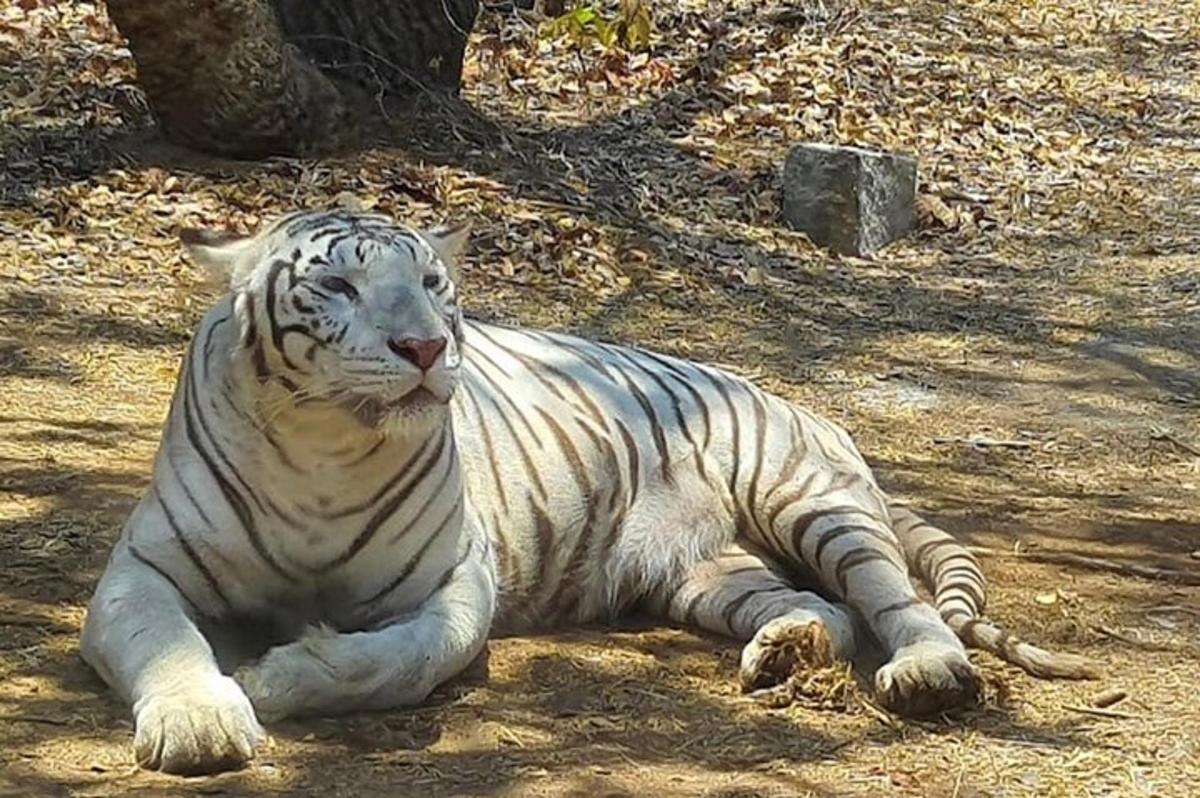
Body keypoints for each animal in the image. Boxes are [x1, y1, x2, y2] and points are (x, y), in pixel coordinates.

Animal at [82, 210, 1099, 772]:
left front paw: (280, 678)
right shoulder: (140, 571)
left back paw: (925, 673)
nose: (426, 347)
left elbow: (398, 658)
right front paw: (201, 721)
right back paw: (787, 652)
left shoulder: (456, 585)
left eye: (433, 283)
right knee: (826, 611)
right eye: (337, 285)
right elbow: (166, 642)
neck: (326, 446)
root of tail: (797, 401)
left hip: (811, 501)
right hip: (704, 573)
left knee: (893, 600)